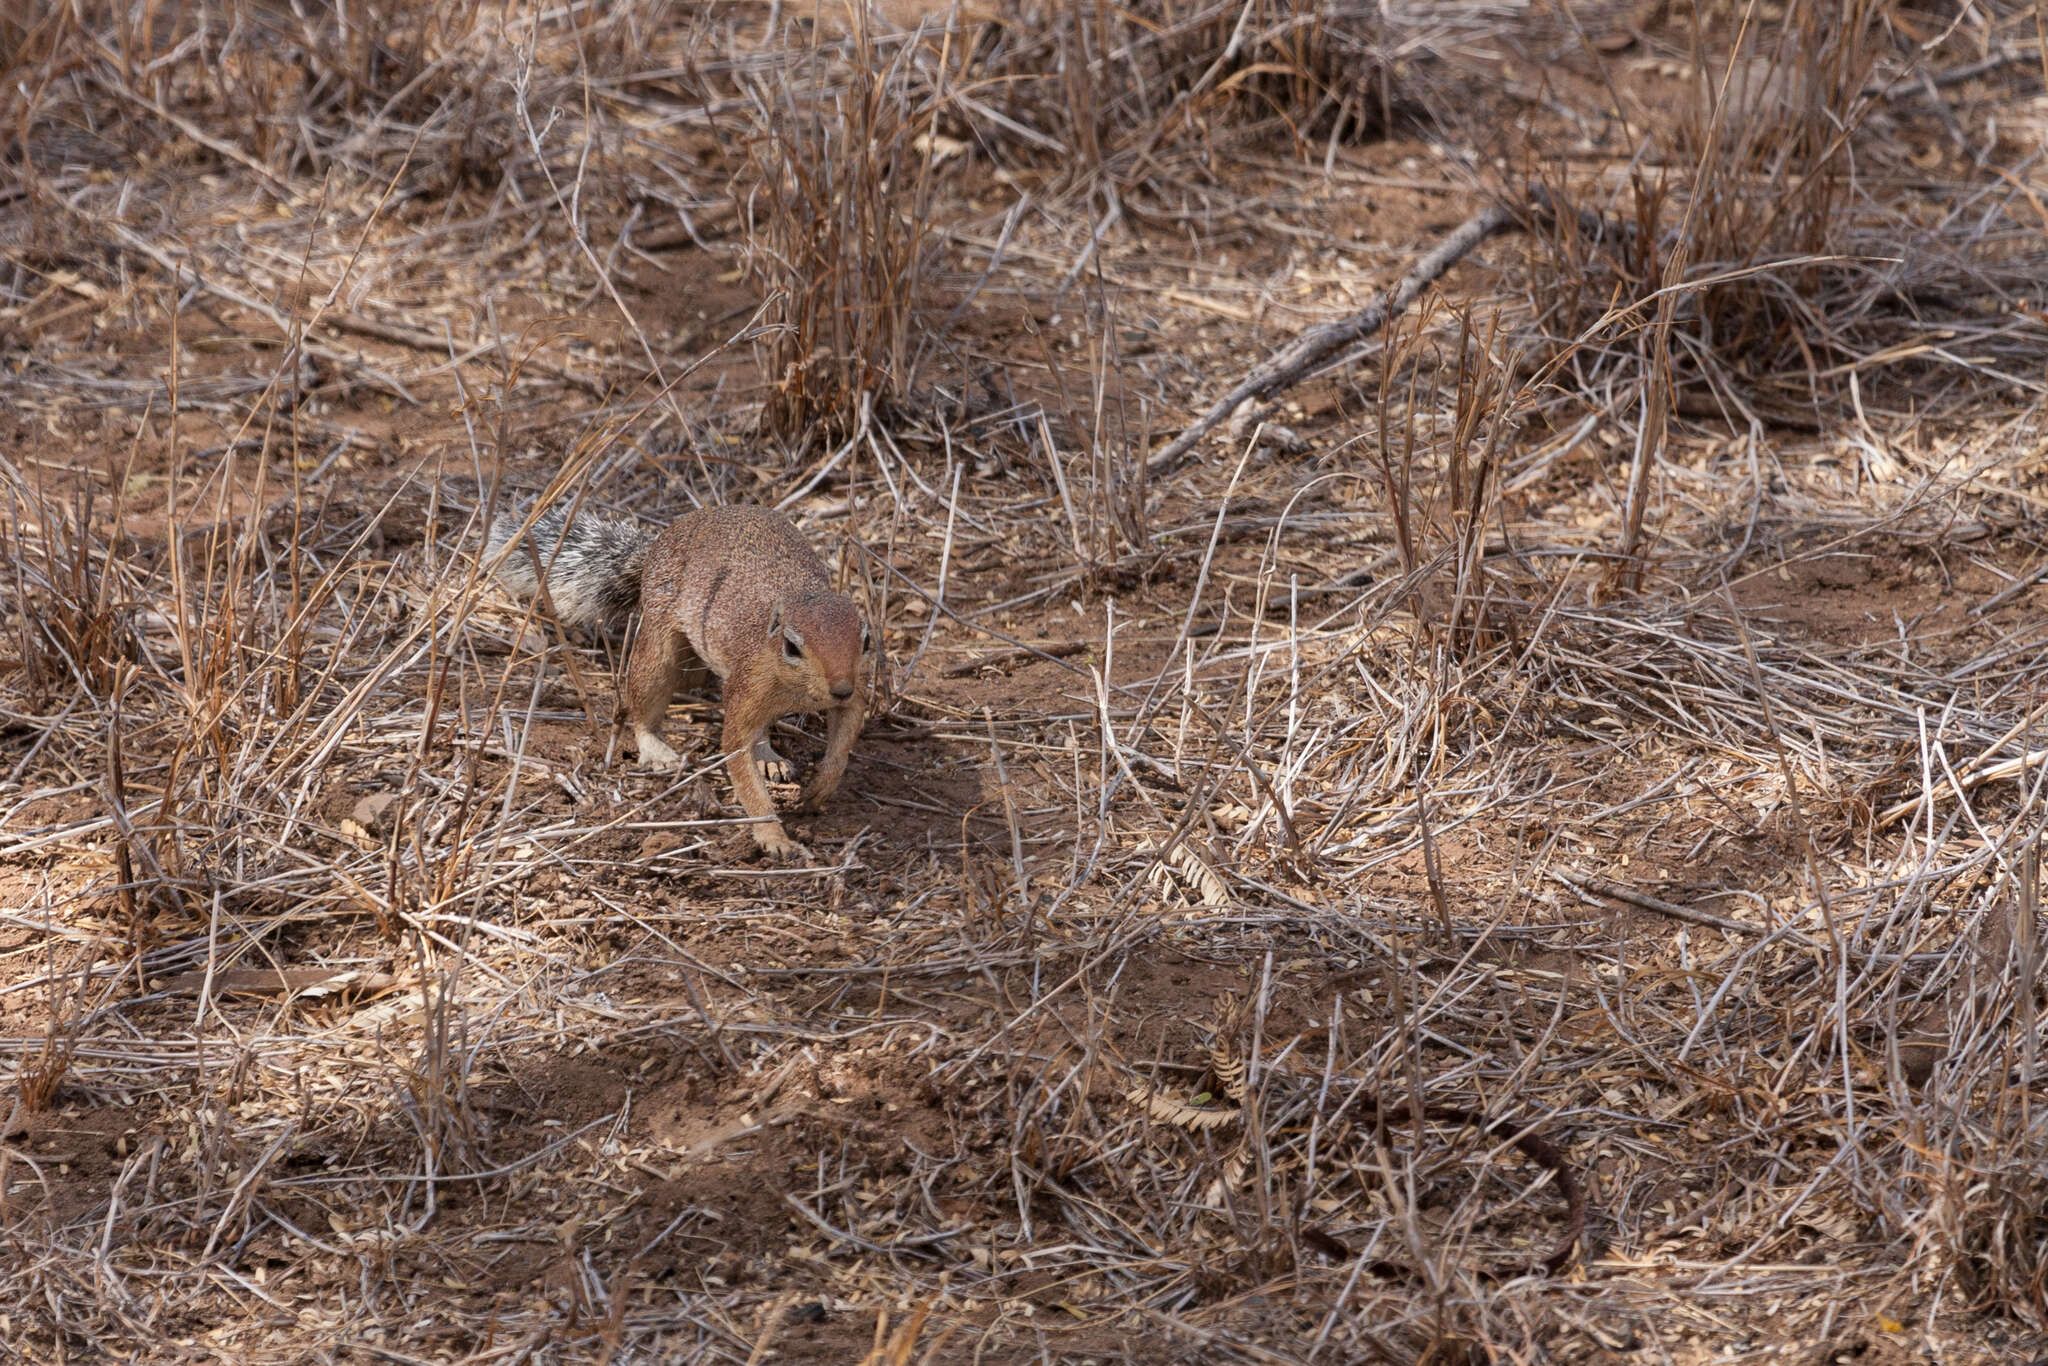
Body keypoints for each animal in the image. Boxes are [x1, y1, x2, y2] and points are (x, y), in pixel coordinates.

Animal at [489, 501, 872, 864]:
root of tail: (658, 544)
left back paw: (768, 756)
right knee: (643, 706)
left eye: (866, 640)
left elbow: (844, 739)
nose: (839, 688)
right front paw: (774, 837)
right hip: (658, 650)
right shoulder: (747, 688)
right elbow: (740, 761)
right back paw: (658, 751)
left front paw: (820, 787)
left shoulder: (856, 692)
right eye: (792, 646)